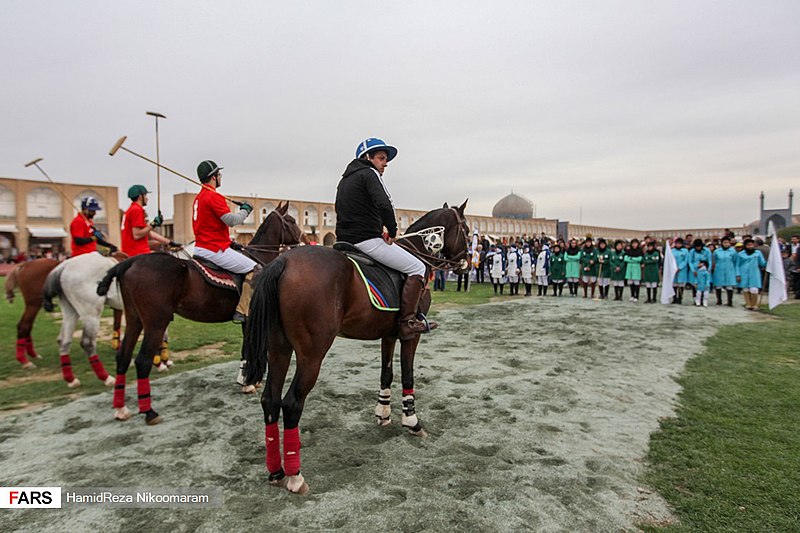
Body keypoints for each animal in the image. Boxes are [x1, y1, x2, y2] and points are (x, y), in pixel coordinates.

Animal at [43, 251, 124, 388]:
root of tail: (64, 266)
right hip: (91, 315)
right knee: (87, 343)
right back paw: (106, 377)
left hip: (70, 313)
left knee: (63, 340)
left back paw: (71, 379)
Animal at [94, 201, 306, 424]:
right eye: (291, 220)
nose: (305, 241)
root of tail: (130, 262)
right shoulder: (249, 318)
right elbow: (248, 347)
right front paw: (248, 382)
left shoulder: (247, 319)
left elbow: (245, 348)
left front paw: (247, 380)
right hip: (156, 322)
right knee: (142, 361)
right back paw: (149, 411)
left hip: (135, 319)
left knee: (123, 356)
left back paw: (121, 408)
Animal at [242, 201, 468, 494]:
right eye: (466, 230)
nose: (465, 262)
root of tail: (283, 261)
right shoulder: (411, 335)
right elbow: (408, 375)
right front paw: (412, 422)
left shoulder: (389, 335)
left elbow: (387, 373)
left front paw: (383, 414)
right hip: (311, 355)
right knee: (291, 403)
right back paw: (295, 476)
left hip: (278, 348)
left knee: (270, 400)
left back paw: (277, 472)